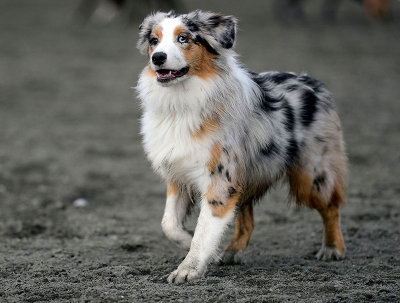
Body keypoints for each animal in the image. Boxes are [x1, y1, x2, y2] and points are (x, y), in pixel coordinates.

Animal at [135, 9, 346, 284]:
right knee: (247, 219)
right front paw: (194, 244)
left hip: (311, 175)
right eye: (154, 41)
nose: (158, 58)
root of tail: (312, 81)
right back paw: (232, 251)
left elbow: (204, 230)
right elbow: (168, 224)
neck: (181, 102)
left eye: (183, 38)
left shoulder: (219, 179)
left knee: (331, 206)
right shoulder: (178, 174)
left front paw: (188, 269)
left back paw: (333, 248)